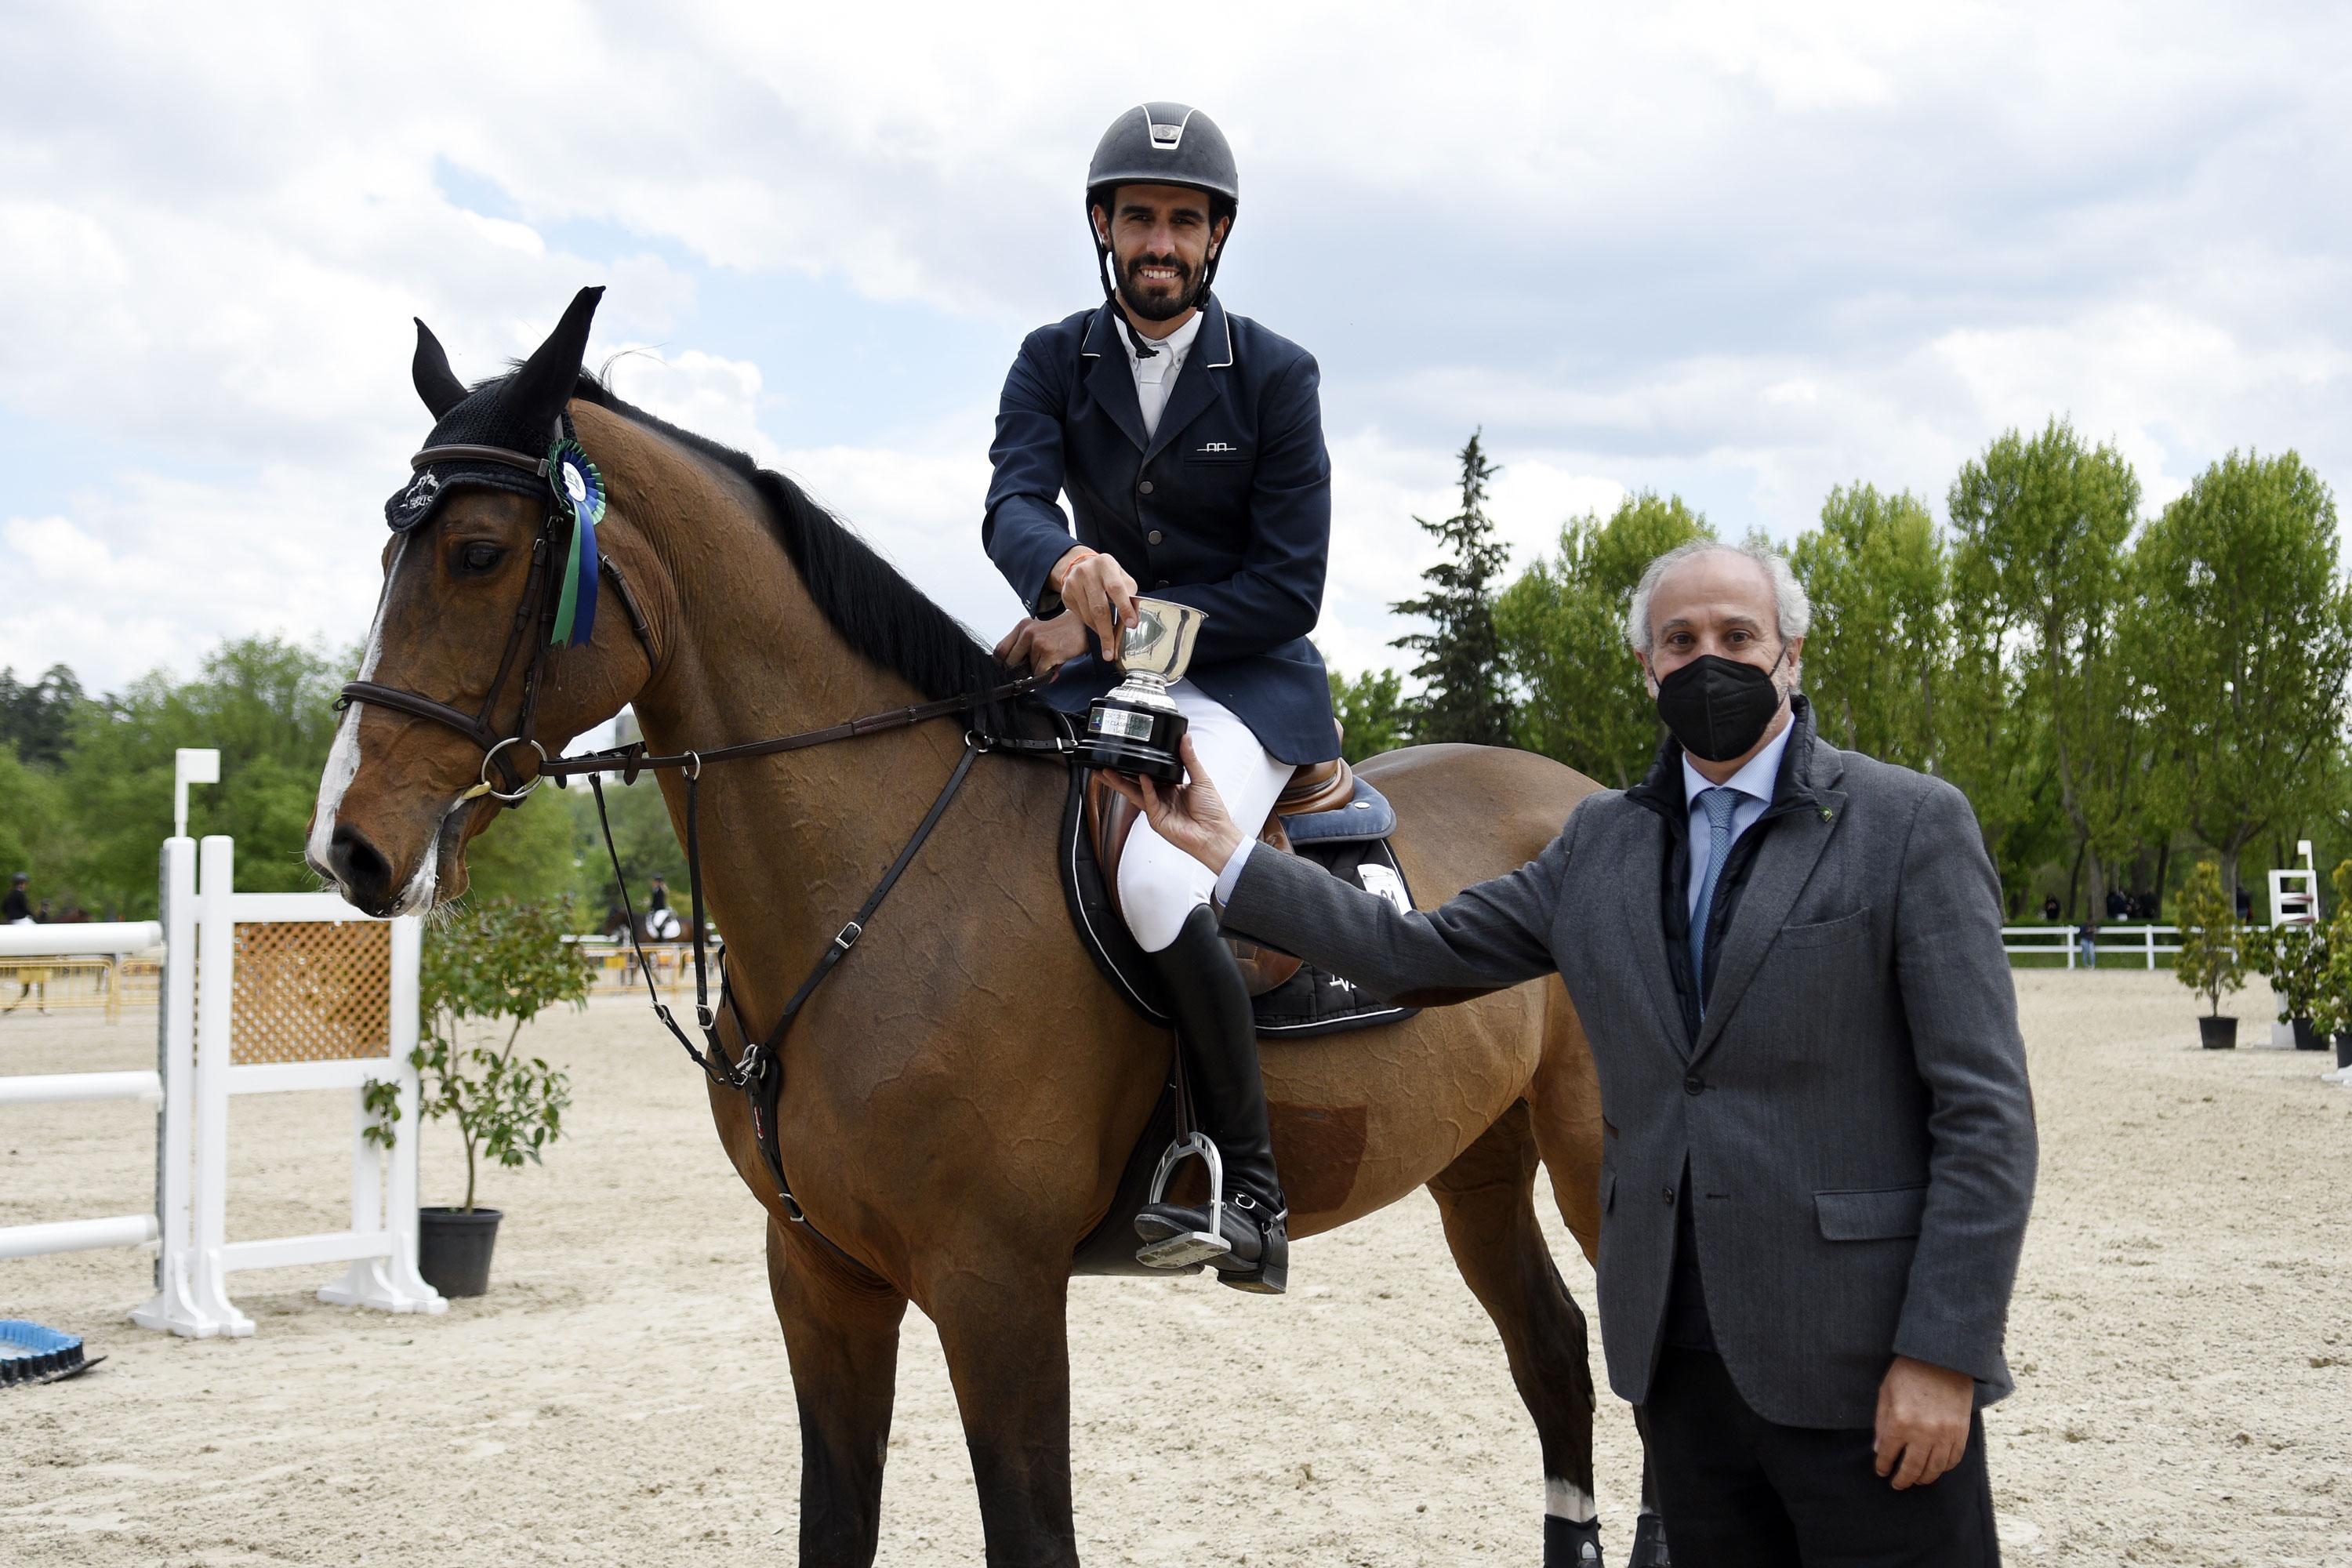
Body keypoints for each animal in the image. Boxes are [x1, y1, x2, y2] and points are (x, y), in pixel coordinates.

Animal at [308, 285, 1637, 1568]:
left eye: (479, 553)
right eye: (383, 549)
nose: (349, 848)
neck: (878, 886)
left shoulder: (997, 1287)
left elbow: (1032, 1534)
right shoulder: (821, 1276)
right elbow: (835, 1526)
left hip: (1593, 1156)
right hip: (1477, 1159)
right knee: (1554, 1351)